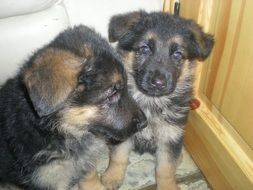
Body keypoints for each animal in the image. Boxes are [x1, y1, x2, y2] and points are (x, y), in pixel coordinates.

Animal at [0, 25, 146, 190]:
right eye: (112, 93)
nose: (145, 123)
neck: (60, 132)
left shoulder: (85, 159)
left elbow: (89, 175)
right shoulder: (49, 179)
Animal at [101, 11, 213, 189]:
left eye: (177, 54)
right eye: (145, 49)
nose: (158, 83)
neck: (151, 102)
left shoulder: (171, 137)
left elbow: (165, 169)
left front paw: (168, 186)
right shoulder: (124, 130)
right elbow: (118, 157)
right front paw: (112, 177)